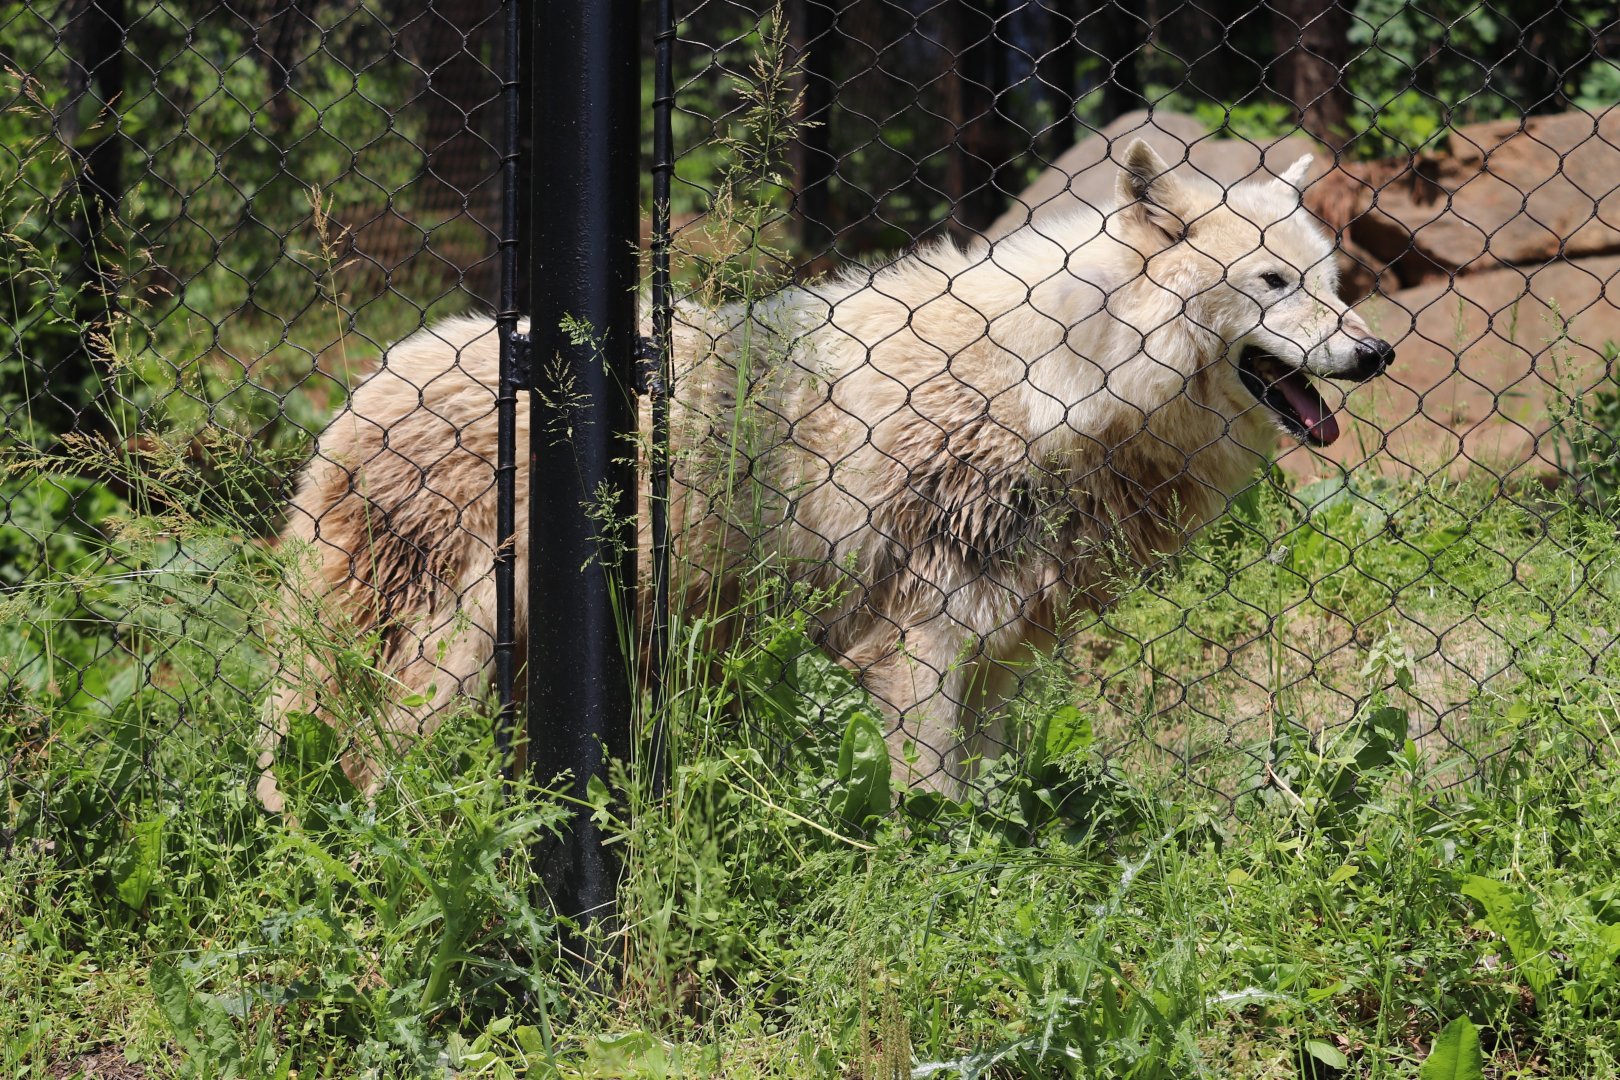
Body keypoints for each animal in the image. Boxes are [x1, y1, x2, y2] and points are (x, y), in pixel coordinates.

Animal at [259, 140, 1393, 805]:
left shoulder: (998, 647)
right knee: (373, 758)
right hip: (453, 650)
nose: (1376, 352)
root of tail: (359, 393)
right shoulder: (919, 635)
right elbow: (929, 802)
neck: (1059, 379)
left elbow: (980, 795)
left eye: (1334, 281)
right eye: (1274, 282)